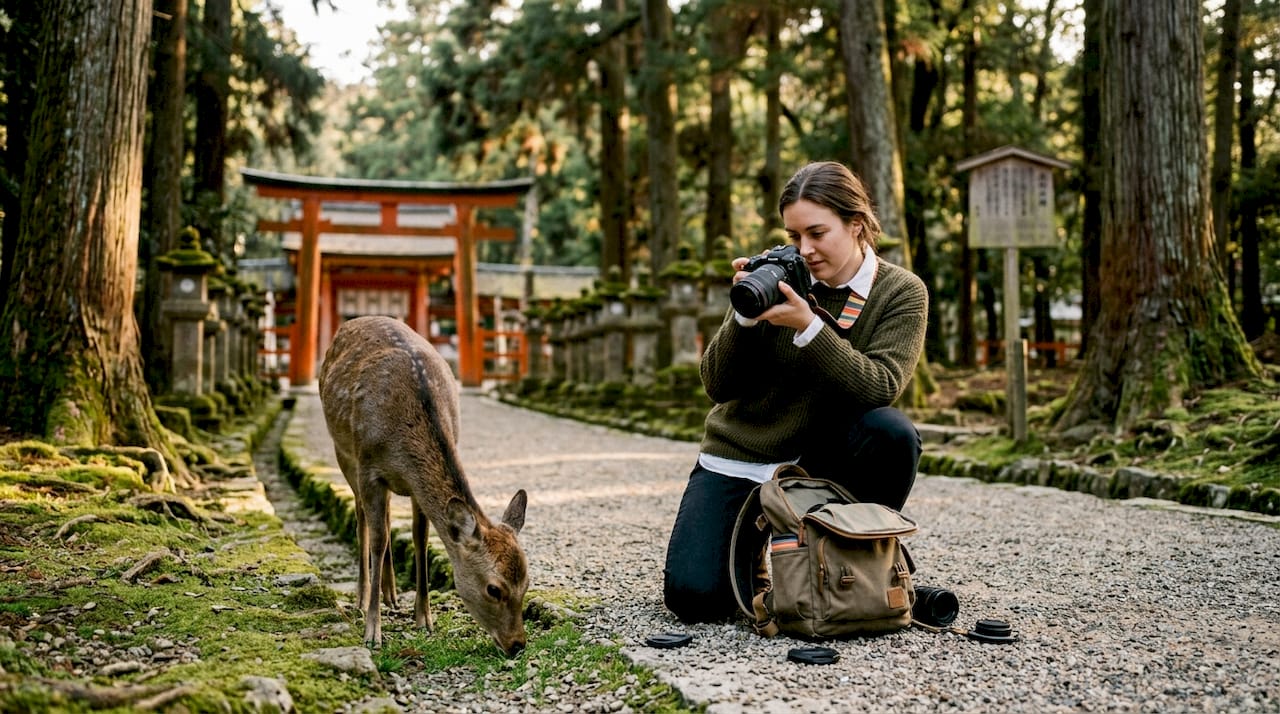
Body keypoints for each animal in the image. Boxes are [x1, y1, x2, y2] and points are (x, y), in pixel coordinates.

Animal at [317, 315, 529, 656]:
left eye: (527, 583)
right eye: (494, 589)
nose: (517, 644)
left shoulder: (416, 488)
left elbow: (420, 539)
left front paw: (424, 619)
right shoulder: (369, 470)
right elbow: (378, 540)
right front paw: (373, 633)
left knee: (387, 518)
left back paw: (391, 593)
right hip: (345, 455)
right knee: (364, 519)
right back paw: (363, 597)